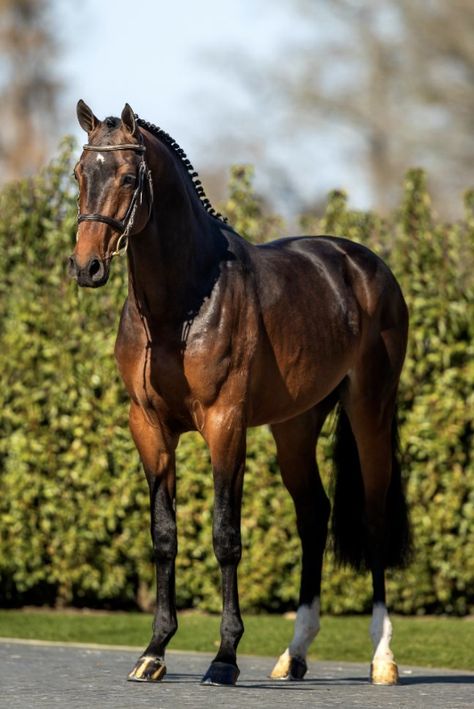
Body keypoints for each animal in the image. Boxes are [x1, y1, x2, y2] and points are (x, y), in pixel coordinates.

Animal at [68, 99, 410, 684]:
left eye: (130, 176)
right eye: (78, 173)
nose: (86, 266)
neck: (182, 304)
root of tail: (366, 266)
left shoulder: (224, 424)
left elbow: (225, 535)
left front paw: (224, 658)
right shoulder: (149, 427)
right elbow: (164, 535)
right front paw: (154, 651)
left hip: (370, 410)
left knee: (373, 518)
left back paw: (382, 657)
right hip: (294, 427)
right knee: (313, 515)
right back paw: (294, 654)